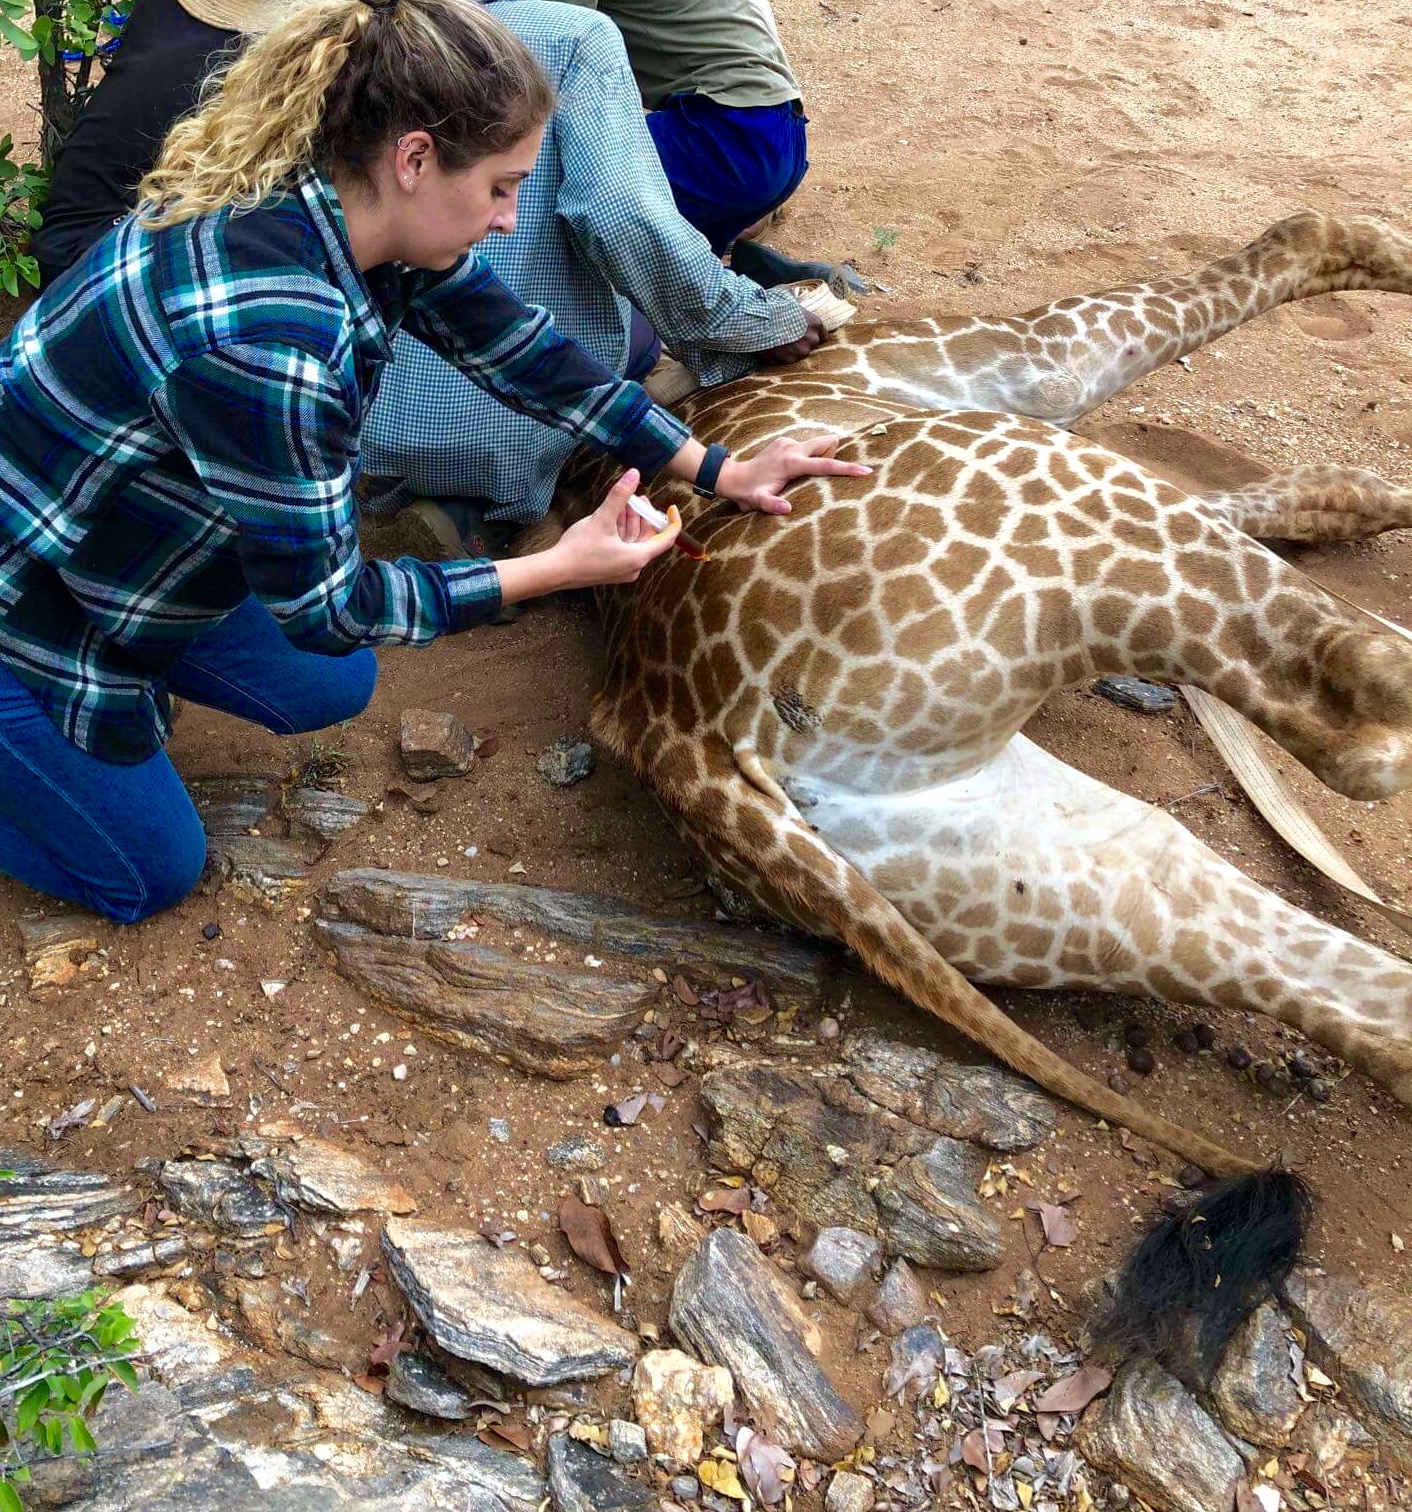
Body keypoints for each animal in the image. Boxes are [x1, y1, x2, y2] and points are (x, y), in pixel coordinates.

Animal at [529, 210, 1412, 1180]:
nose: (823, 297)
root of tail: (679, 739)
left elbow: (1293, 496)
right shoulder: (1039, 361)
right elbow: (1312, 233)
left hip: (1030, 869)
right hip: (1046, 475)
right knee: (1364, 711)